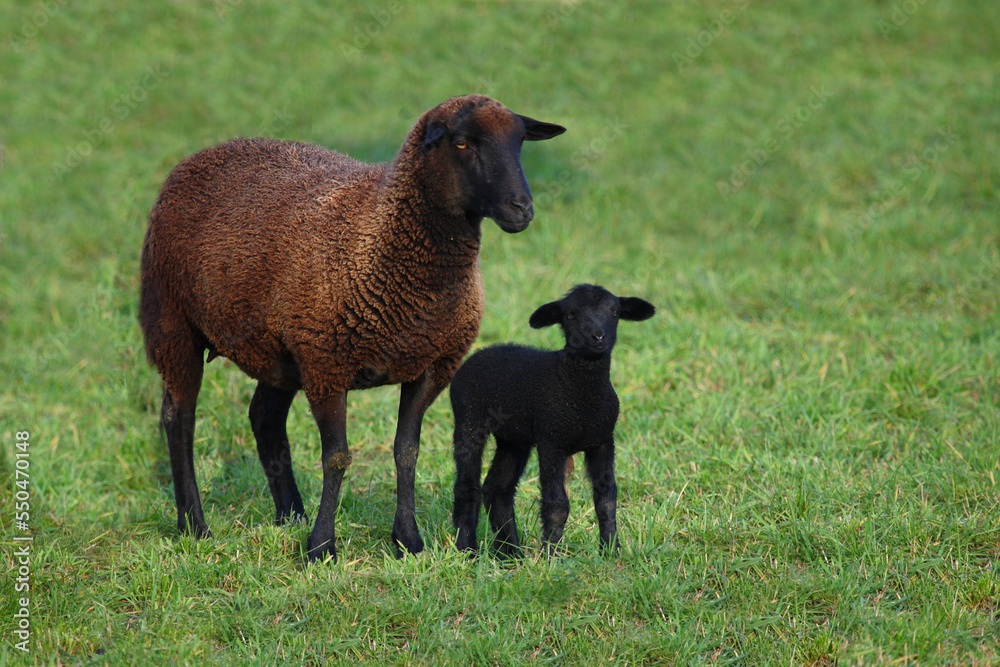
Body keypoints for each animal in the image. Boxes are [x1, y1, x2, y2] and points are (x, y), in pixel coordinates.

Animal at [139, 95, 565, 562]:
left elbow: (407, 452)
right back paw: (194, 525)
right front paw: (322, 546)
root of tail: (205, 152)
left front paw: (407, 540)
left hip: (281, 349)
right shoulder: (328, 366)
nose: (522, 209)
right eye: (461, 143)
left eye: (520, 142)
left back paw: (291, 515)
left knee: (264, 416)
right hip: (172, 322)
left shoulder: (430, 366)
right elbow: (337, 458)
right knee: (179, 417)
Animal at [451, 284, 655, 557]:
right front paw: (551, 556)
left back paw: (510, 553)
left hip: (513, 438)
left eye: (615, 312)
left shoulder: (603, 440)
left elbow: (606, 498)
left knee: (497, 489)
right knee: (467, 485)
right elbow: (557, 504)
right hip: (469, 419)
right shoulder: (552, 440)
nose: (598, 337)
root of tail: (482, 352)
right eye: (569, 315)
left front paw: (611, 551)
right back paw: (468, 550)